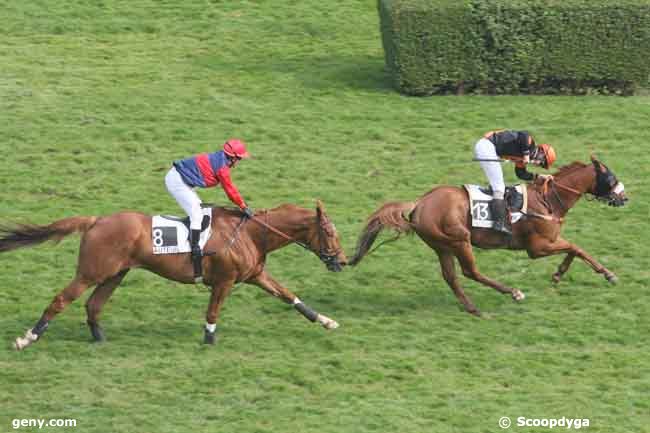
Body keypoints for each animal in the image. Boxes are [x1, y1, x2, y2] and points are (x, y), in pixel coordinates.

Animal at [2, 201, 346, 350]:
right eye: (329, 232)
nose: (342, 261)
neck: (252, 233)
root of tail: (96, 220)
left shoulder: (256, 275)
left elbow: (289, 296)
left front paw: (327, 321)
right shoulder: (224, 282)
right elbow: (213, 312)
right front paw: (209, 339)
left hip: (115, 274)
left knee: (93, 305)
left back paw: (99, 338)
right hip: (91, 272)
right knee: (61, 300)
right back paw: (27, 338)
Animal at [352, 155, 624, 314]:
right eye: (611, 178)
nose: (624, 197)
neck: (549, 201)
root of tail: (419, 203)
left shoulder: (546, 243)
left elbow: (574, 249)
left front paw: (560, 274)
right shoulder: (537, 247)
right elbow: (576, 247)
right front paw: (606, 274)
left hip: (442, 246)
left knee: (451, 277)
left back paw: (472, 307)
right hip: (460, 240)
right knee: (470, 272)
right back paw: (512, 292)